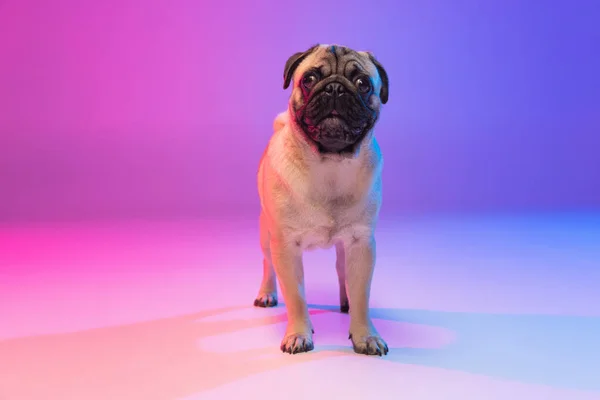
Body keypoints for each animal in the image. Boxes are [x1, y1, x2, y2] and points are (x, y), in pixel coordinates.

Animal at [253, 43, 390, 356]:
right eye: (310, 79)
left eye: (363, 83)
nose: (335, 88)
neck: (330, 164)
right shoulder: (285, 247)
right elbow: (296, 297)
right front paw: (298, 334)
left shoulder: (362, 244)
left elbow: (362, 295)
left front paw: (365, 335)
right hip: (266, 233)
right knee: (268, 265)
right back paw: (266, 294)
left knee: (342, 272)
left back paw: (345, 301)